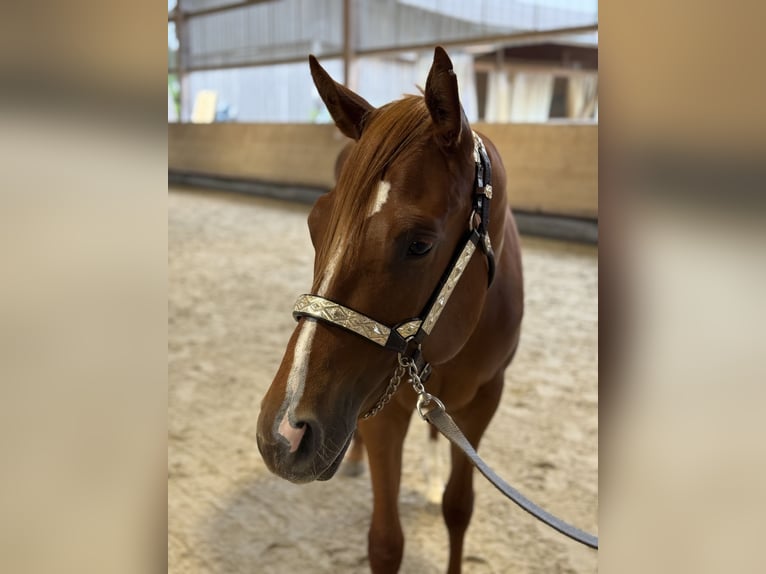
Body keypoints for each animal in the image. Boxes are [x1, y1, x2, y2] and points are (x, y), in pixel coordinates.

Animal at [256, 46, 524, 573]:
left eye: (419, 244)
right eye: (314, 225)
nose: (282, 433)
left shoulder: (486, 400)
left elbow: (459, 508)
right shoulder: (383, 410)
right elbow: (384, 542)